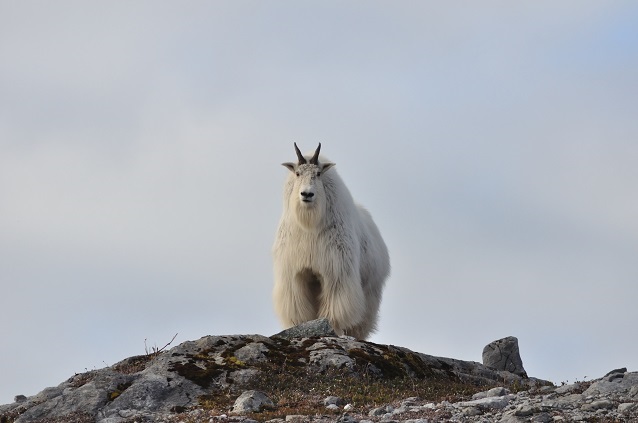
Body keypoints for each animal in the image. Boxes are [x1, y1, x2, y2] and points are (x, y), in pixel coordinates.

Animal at [272, 144, 390, 340]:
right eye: (297, 173)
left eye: (318, 173)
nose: (307, 194)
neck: (309, 226)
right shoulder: (297, 276)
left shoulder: (336, 273)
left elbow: (336, 308)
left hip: (370, 293)